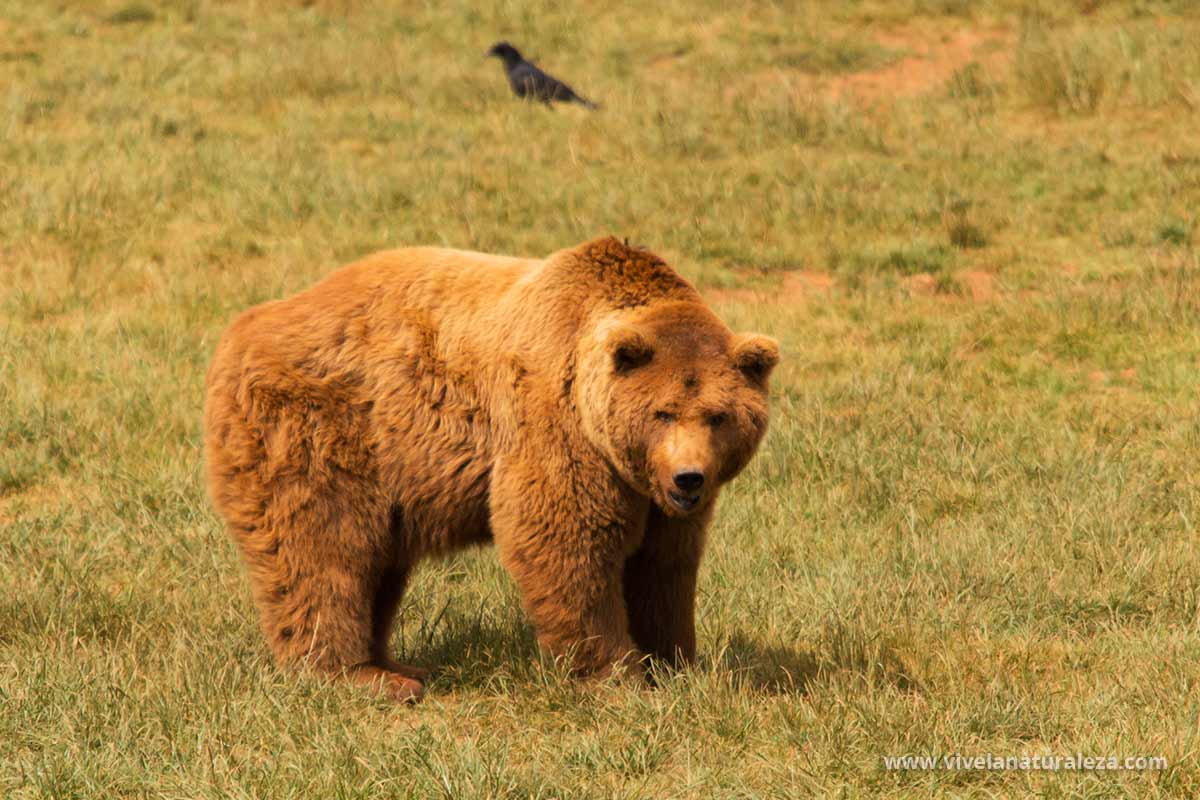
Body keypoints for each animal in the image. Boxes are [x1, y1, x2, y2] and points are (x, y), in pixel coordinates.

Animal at [205, 236, 777, 700]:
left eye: (718, 416)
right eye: (663, 412)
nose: (689, 477)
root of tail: (237, 331)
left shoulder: (654, 497)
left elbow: (664, 565)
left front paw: (675, 663)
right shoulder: (553, 422)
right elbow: (565, 540)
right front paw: (616, 674)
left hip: (390, 472)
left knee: (378, 563)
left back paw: (397, 665)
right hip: (320, 429)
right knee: (324, 549)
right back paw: (359, 676)